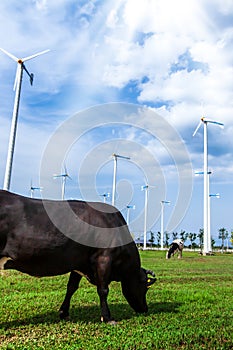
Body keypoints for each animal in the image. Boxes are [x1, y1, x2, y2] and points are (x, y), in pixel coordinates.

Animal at [0, 190, 157, 324]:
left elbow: (71, 287)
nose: (145, 309)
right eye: (145, 287)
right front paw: (107, 318)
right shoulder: (104, 258)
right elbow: (103, 290)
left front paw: (63, 312)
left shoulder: (78, 263)